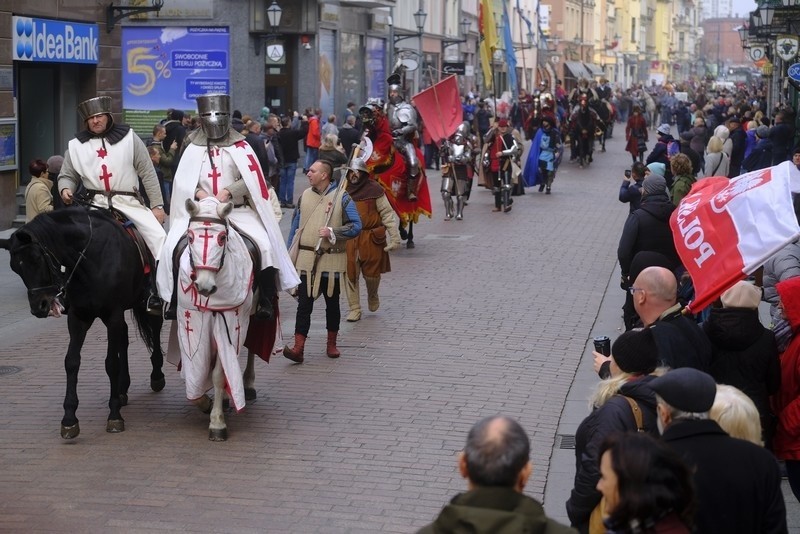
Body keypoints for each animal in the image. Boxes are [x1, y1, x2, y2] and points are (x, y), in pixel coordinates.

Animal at [0, 208, 164, 440]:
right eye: (15, 268)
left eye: (36, 258)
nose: (39, 307)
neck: (91, 259)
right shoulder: (78, 317)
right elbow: (71, 362)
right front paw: (69, 419)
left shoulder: (112, 315)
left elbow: (111, 363)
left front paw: (114, 415)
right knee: (123, 340)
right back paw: (123, 388)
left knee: (155, 329)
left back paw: (156, 375)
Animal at [179, 199, 255, 442]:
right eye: (190, 236)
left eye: (222, 238)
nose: (204, 286)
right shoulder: (191, 326)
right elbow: (195, 374)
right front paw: (204, 402)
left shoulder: (229, 325)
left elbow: (219, 375)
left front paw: (217, 422)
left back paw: (247, 385)